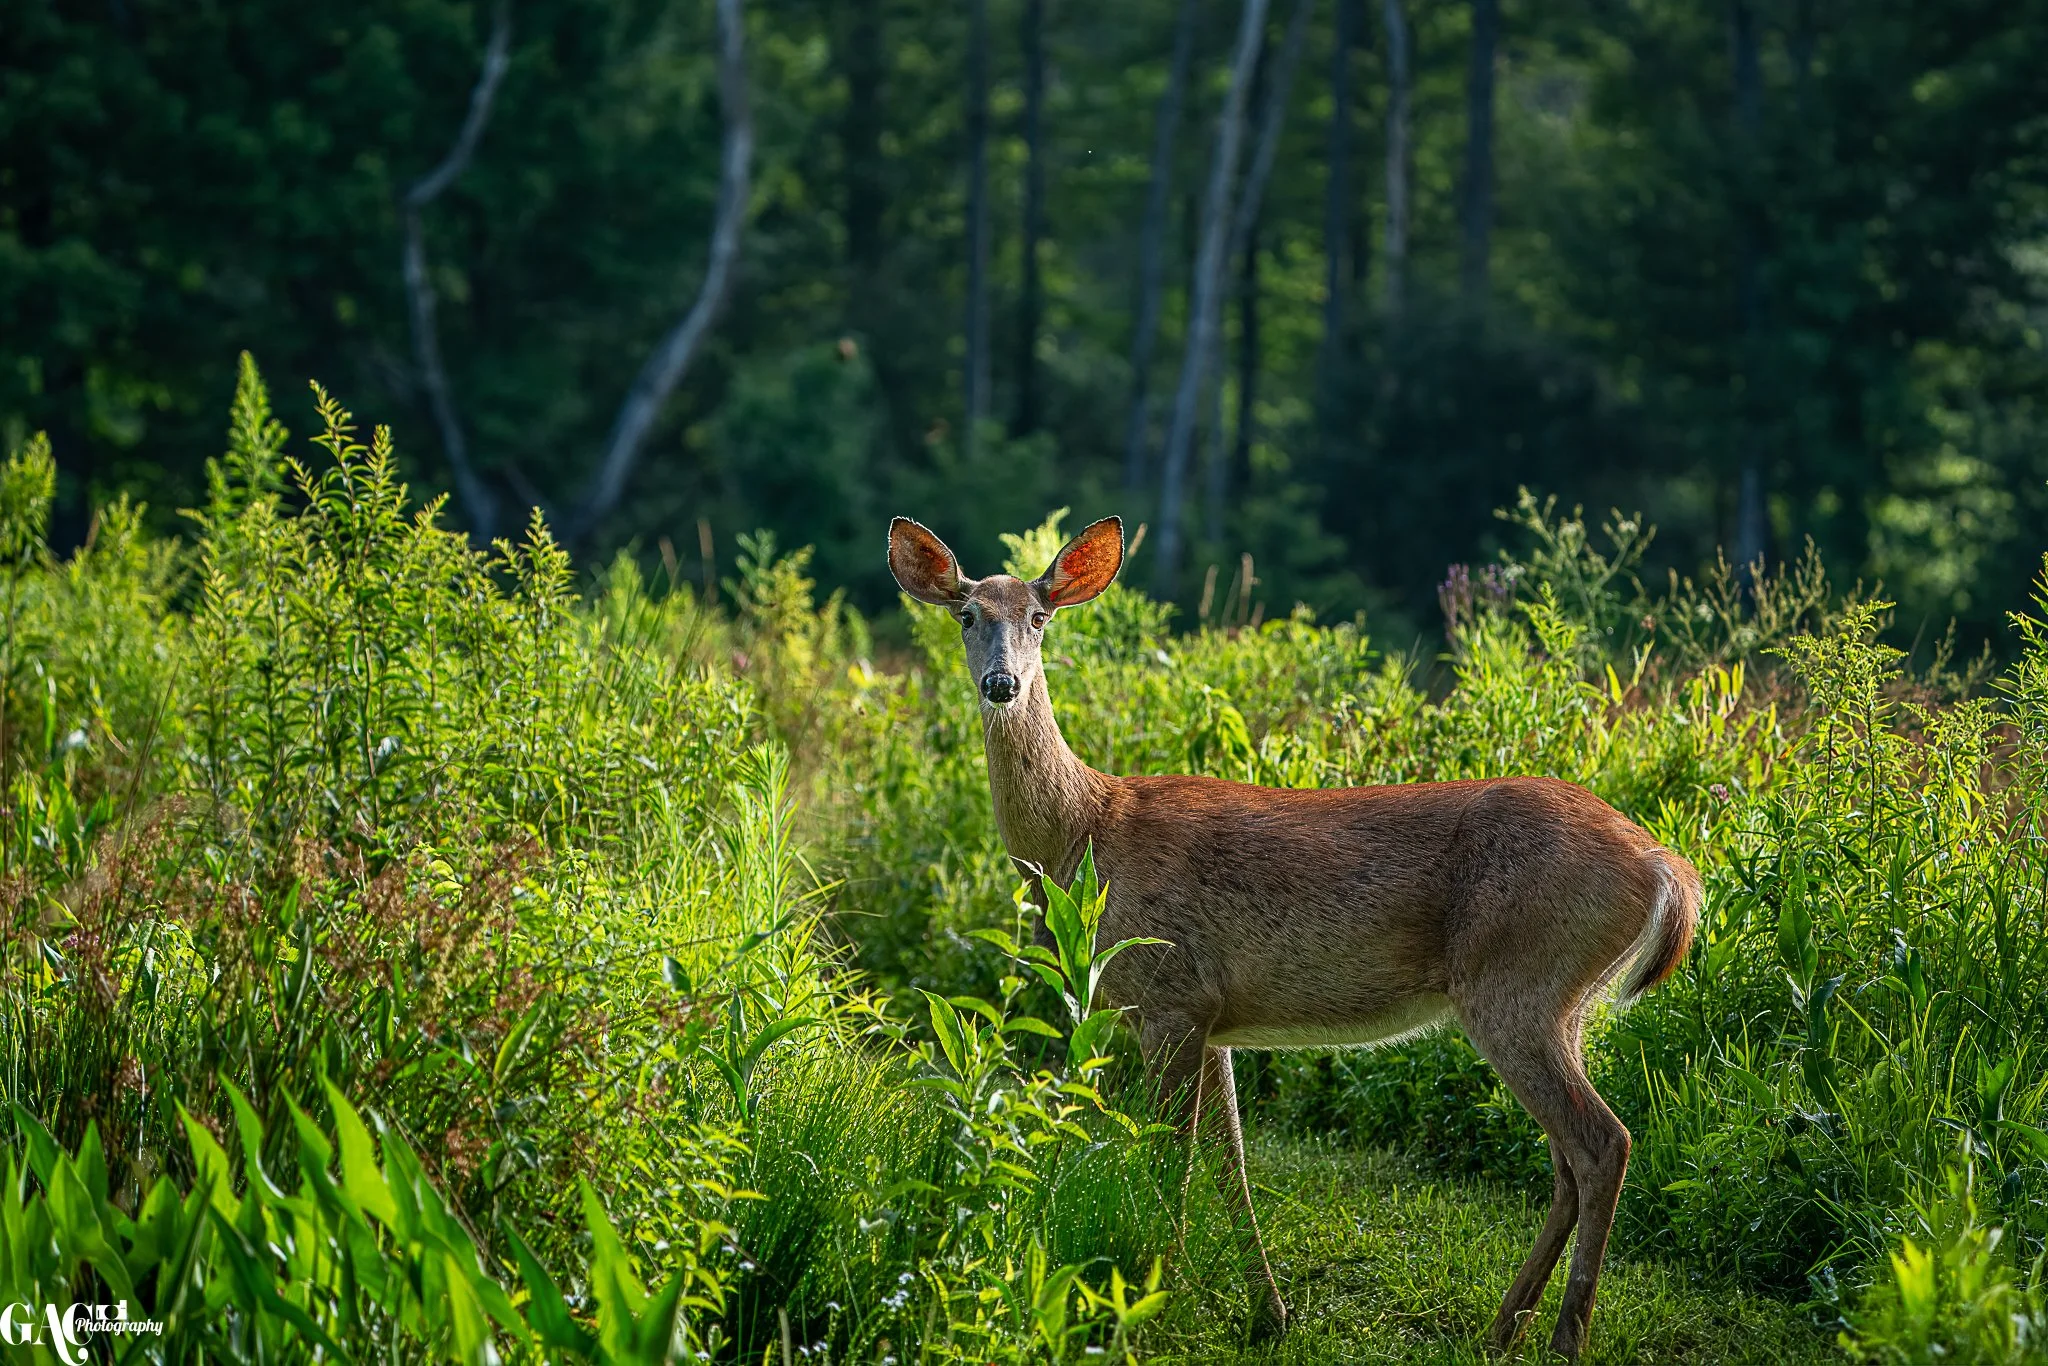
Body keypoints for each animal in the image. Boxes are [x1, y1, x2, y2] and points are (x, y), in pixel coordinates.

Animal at [887, 513, 1703, 1359]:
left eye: (1039, 618)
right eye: (966, 615)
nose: (1002, 684)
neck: (1085, 834)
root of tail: (1663, 864)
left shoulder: (1168, 993)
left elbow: (1170, 1158)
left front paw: (1153, 1291)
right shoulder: (1211, 1015)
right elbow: (1230, 1160)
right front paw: (1266, 1312)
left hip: (1517, 985)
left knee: (1602, 1143)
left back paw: (1564, 1338)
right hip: (1562, 1004)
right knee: (1567, 1160)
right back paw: (1504, 1325)